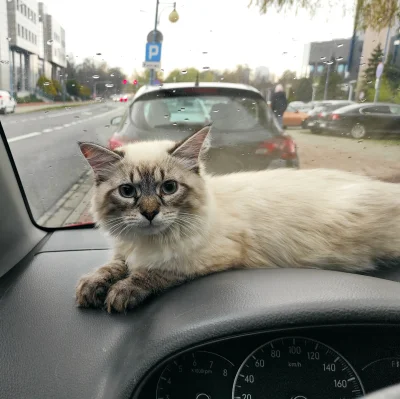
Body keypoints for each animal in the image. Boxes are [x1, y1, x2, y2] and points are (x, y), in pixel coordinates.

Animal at [74, 126, 400, 314]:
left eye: (169, 188)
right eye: (128, 192)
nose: (150, 213)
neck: (148, 242)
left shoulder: (203, 259)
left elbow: (152, 272)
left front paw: (121, 292)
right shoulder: (125, 251)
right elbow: (111, 267)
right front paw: (91, 287)